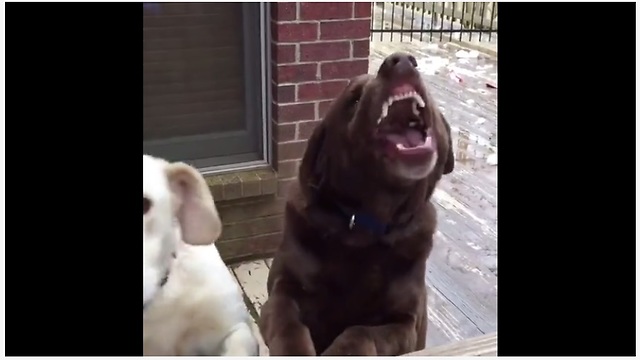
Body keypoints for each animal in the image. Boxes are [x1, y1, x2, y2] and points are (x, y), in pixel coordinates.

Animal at [260, 52, 456, 356]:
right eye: (353, 100)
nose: (401, 60)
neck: (366, 227)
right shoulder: (282, 290)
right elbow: (287, 321)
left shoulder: (405, 323)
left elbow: (361, 332)